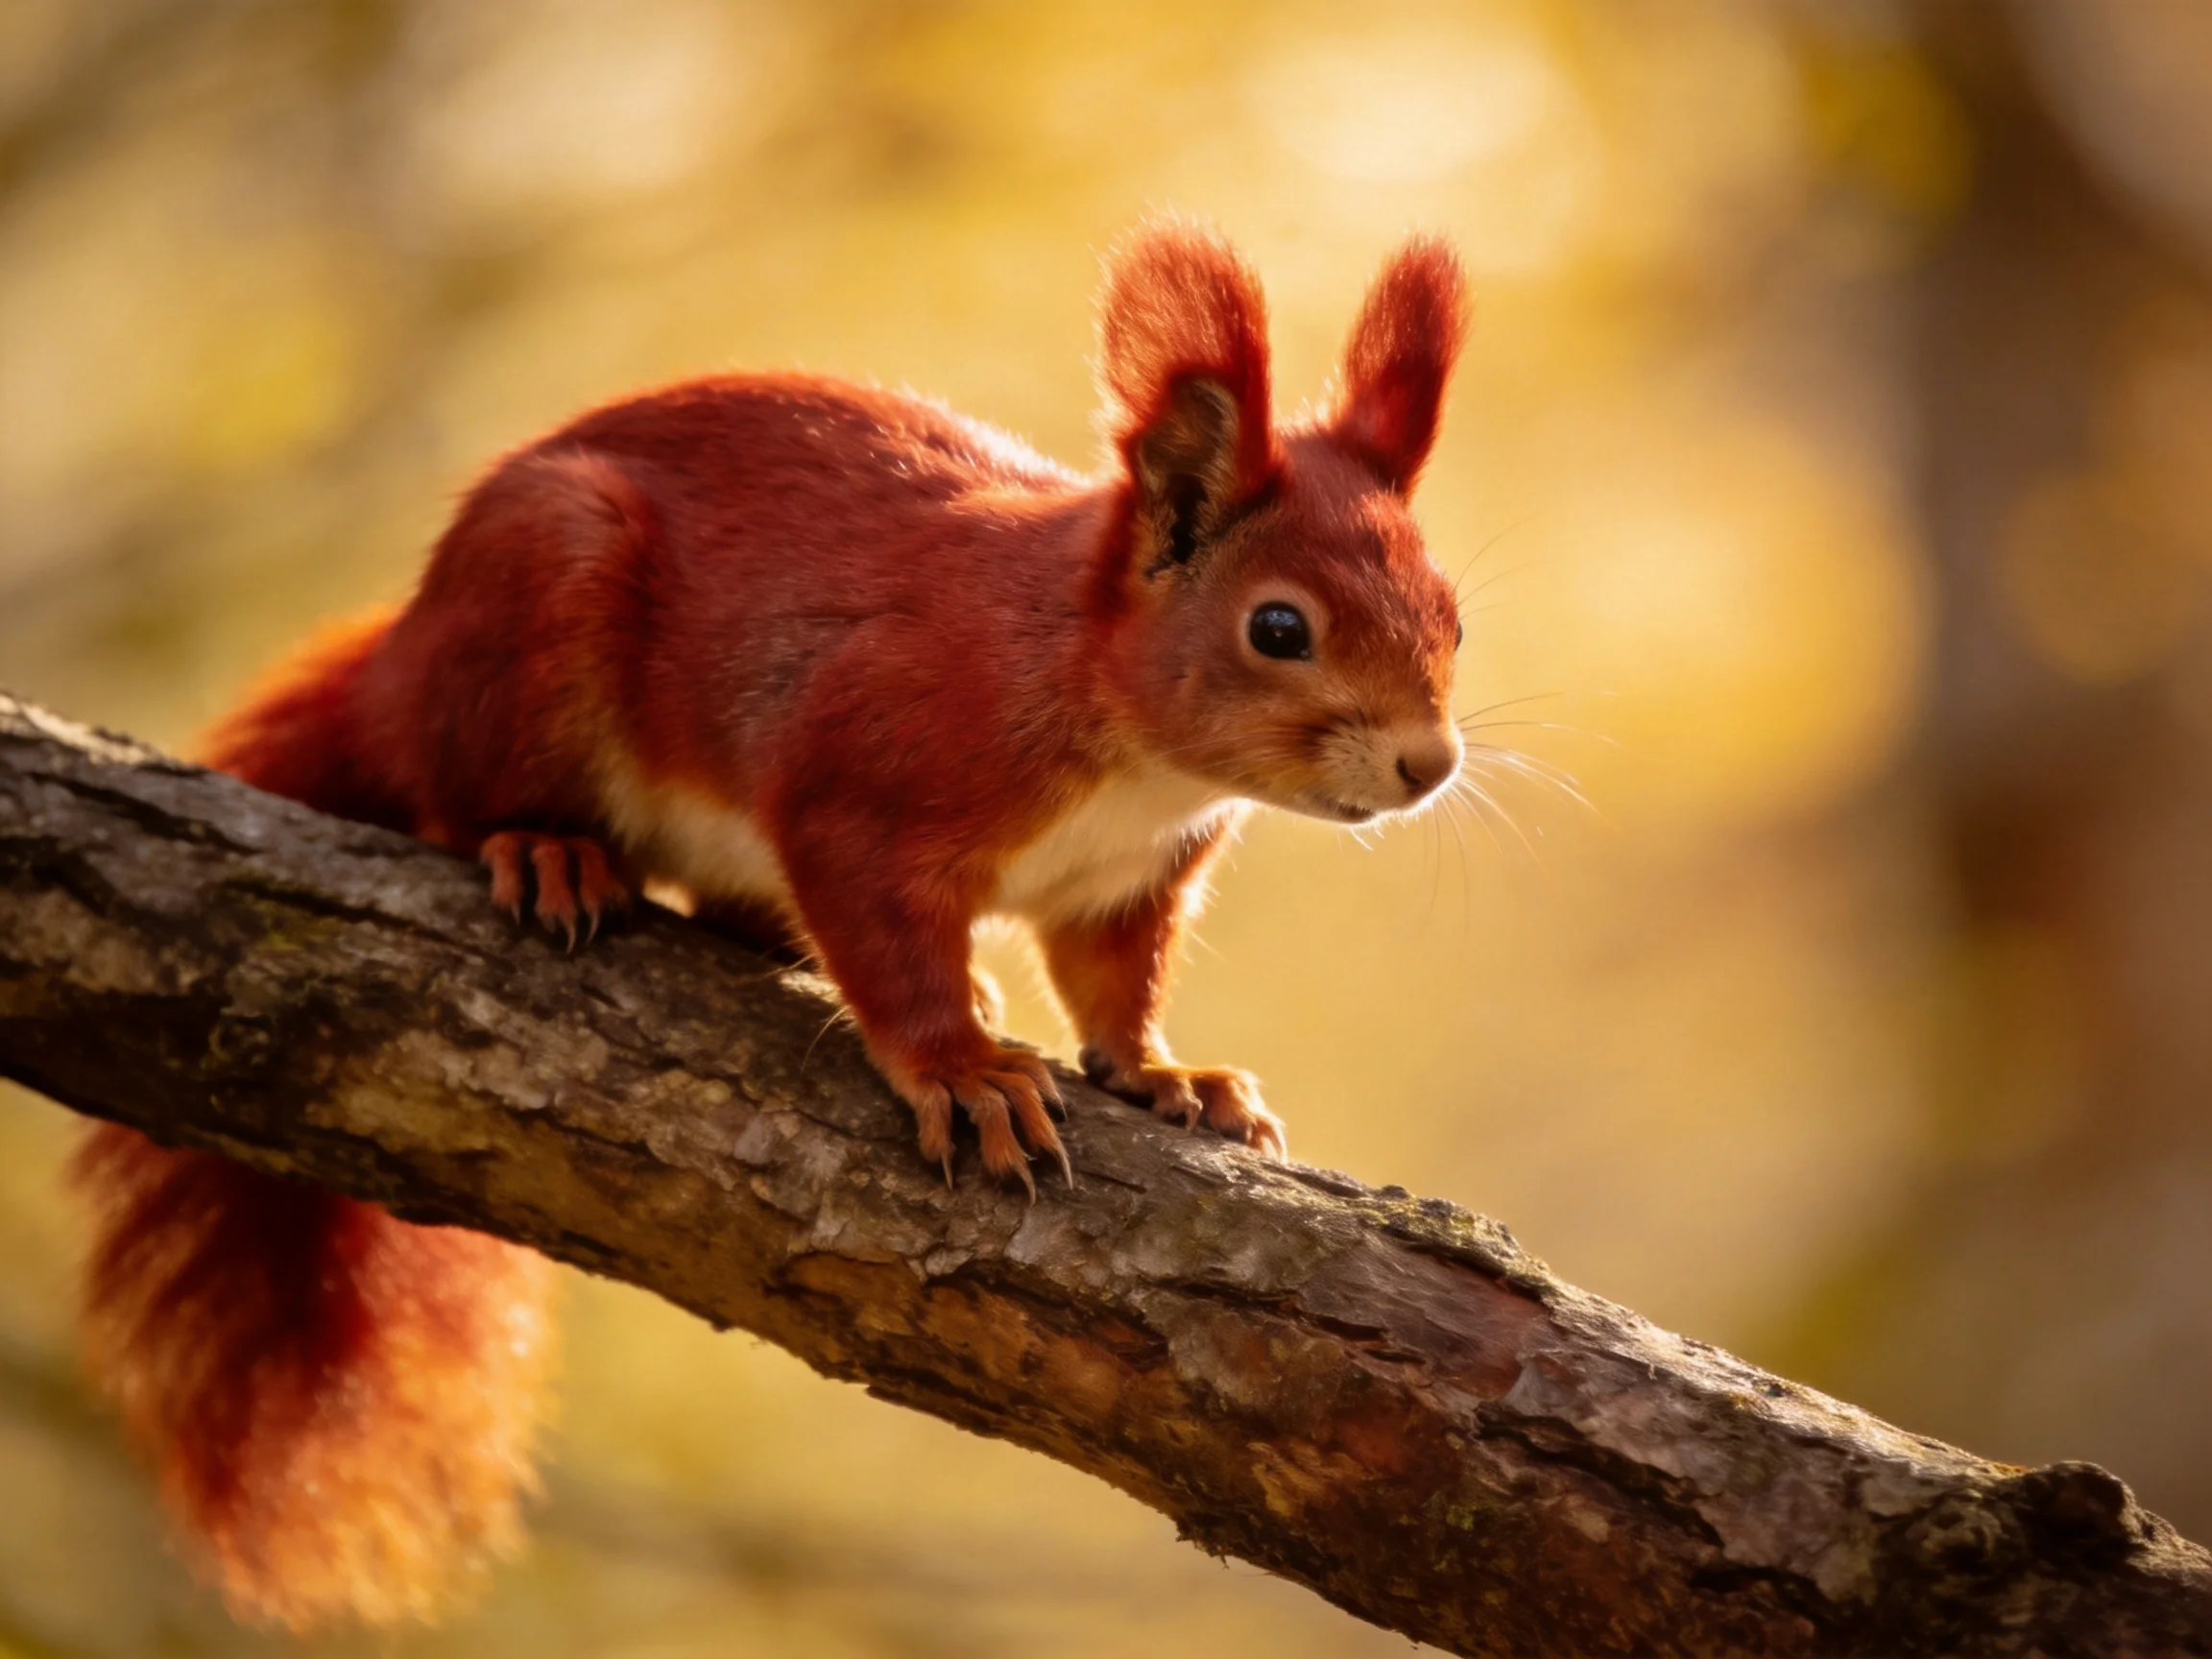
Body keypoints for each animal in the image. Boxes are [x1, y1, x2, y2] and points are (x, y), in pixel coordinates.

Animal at [71, 217, 1470, 1629]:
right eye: (1278, 626)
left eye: (1452, 609)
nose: (1431, 766)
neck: (1132, 747)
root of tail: (401, 657)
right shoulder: (865, 770)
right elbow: (887, 938)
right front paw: (966, 1071)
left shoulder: (1129, 886)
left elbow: (1115, 989)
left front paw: (1172, 1076)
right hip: (535, 604)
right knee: (456, 797)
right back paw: (547, 849)